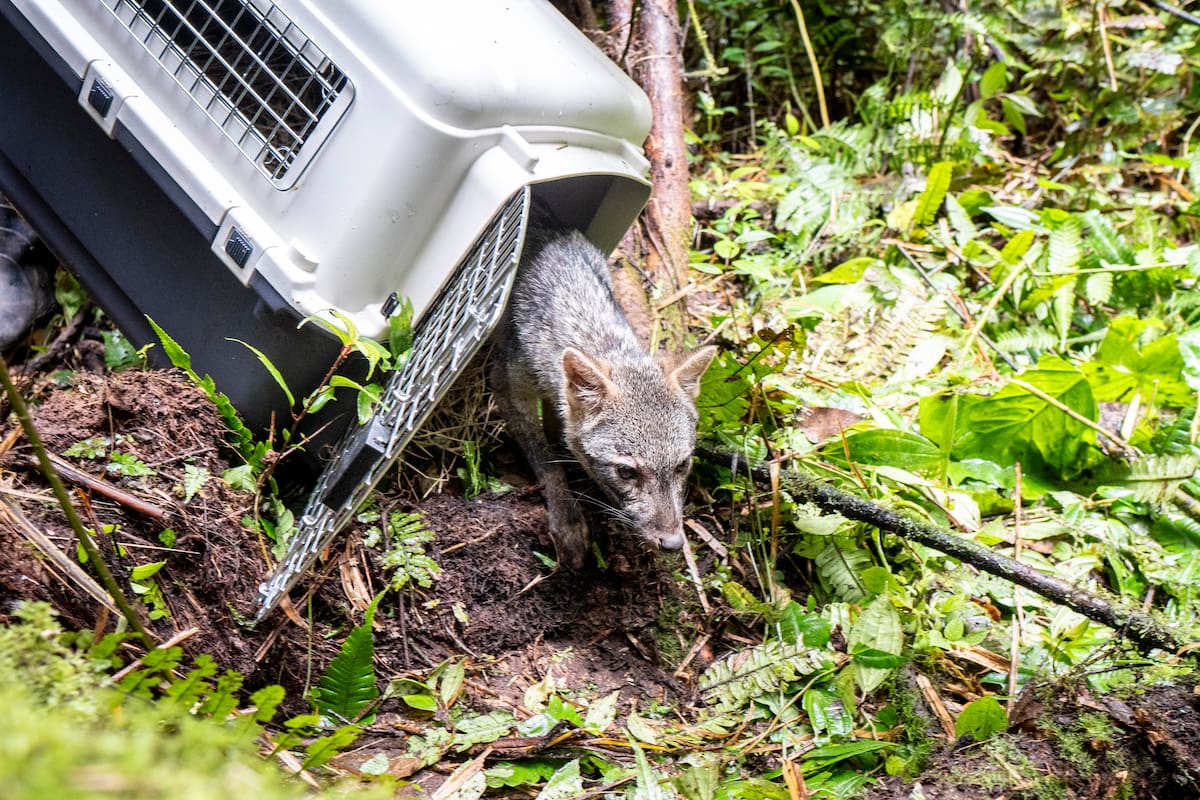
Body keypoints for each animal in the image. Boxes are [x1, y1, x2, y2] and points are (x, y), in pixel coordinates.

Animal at [490, 221, 716, 569]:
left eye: (682, 466)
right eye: (626, 471)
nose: (672, 543)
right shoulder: (506, 386)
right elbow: (546, 461)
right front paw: (568, 521)